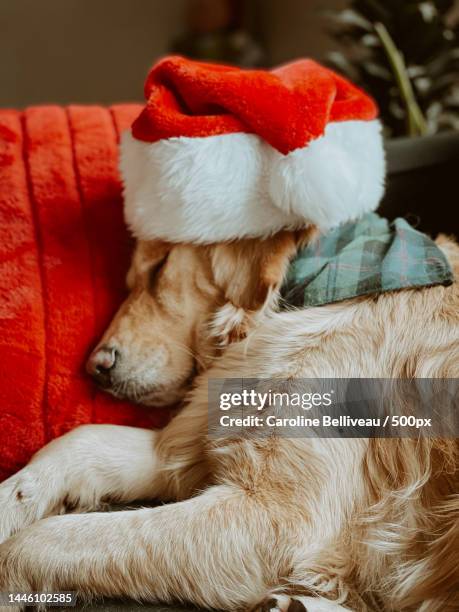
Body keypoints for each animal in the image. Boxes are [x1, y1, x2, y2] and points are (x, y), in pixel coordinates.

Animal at [0, 227, 458, 608]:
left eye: (160, 267)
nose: (96, 368)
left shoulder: (277, 518)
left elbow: (46, 539)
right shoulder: (194, 443)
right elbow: (81, 440)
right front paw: (11, 501)